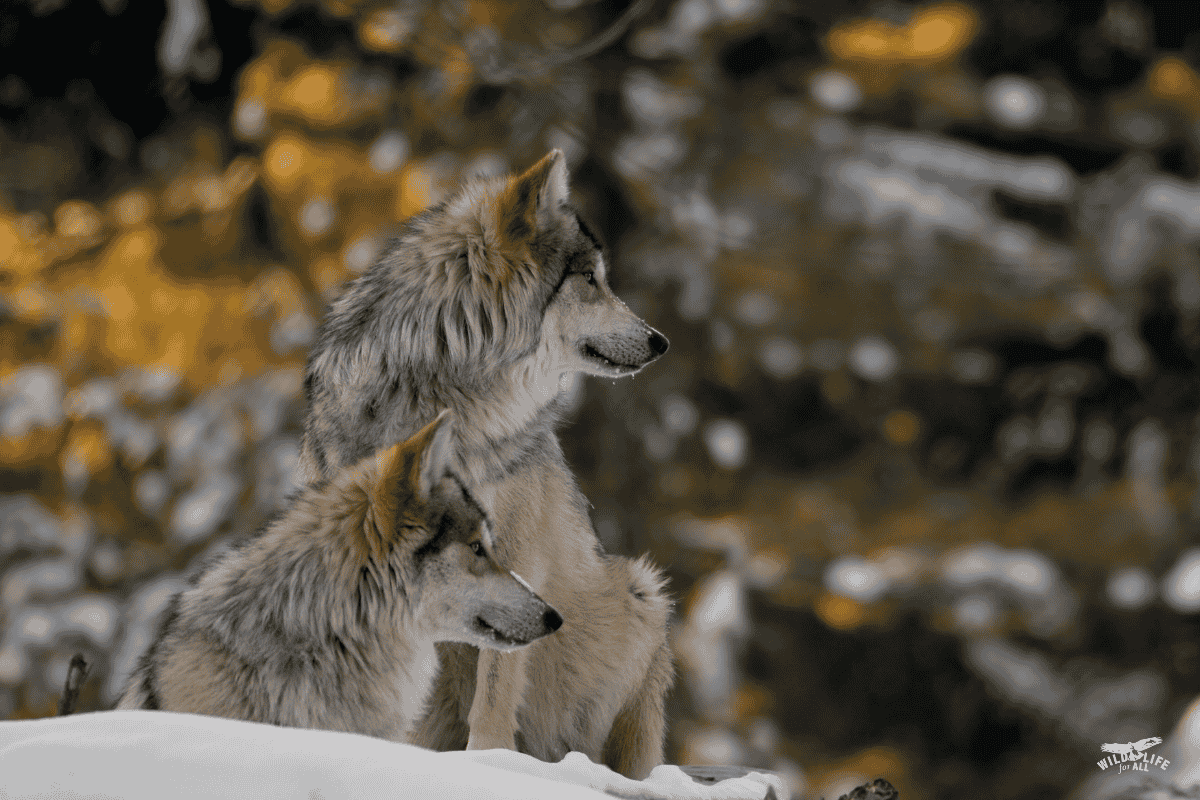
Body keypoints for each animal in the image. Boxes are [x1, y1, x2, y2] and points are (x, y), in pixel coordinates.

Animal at [297, 149, 674, 778]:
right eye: (591, 280)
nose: (660, 340)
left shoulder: (515, 558)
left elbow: (497, 683)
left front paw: (491, 760)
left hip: (643, 595)